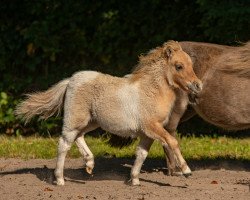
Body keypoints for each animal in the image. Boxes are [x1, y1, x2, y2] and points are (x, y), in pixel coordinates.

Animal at [15, 40, 202, 186]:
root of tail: (70, 80)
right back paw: (60, 179)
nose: (198, 85)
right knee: (64, 144)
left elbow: (141, 154)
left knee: (78, 137)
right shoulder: (151, 127)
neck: (150, 92)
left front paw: (134, 180)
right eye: (179, 66)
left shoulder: (147, 133)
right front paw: (186, 170)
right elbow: (172, 142)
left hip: (91, 122)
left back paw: (89, 163)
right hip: (74, 120)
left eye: (191, 65)